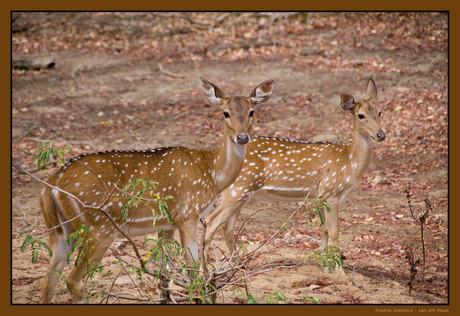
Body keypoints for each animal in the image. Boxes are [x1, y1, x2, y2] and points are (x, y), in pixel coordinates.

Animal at [38, 77, 274, 304]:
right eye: (225, 113)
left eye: (252, 111)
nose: (242, 137)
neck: (212, 174)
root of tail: (53, 184)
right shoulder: (188, 213)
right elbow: (193, 271)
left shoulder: (167, 224)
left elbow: (165, 276)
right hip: (99, 227)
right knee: (73, 281)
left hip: (62, 231)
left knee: (49, 280)